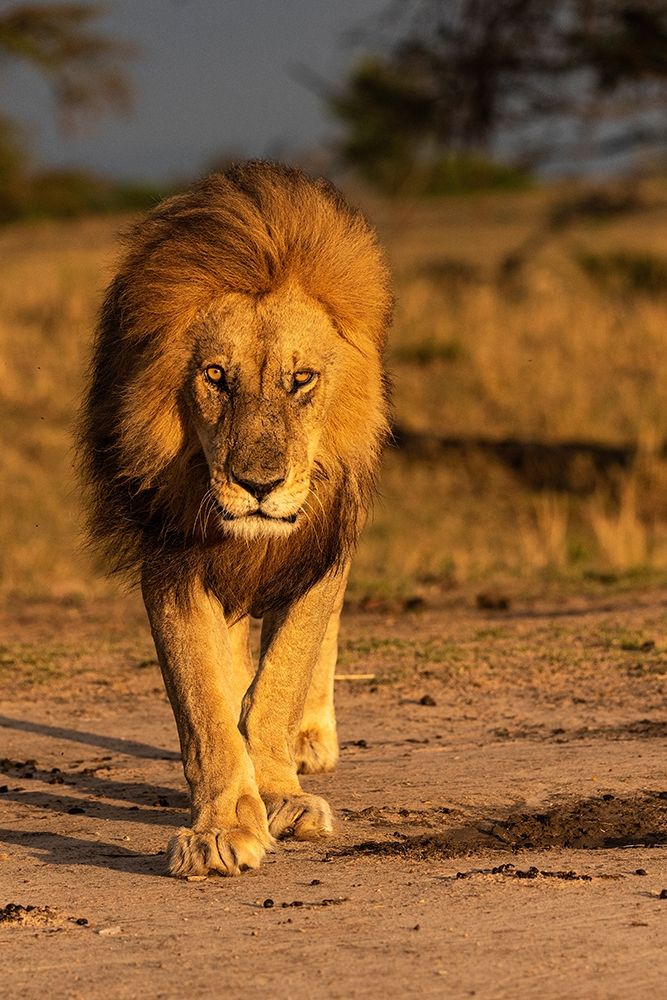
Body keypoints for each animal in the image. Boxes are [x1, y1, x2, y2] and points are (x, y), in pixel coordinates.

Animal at [77, 160, 392, 880]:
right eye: (216, 377)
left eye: (301, 380)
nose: (258, 486)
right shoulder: (172, 563)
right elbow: (205, 702)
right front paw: (223, 826)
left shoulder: (320, 552)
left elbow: (281, 680)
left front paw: (281, 793)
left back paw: (312, 738)